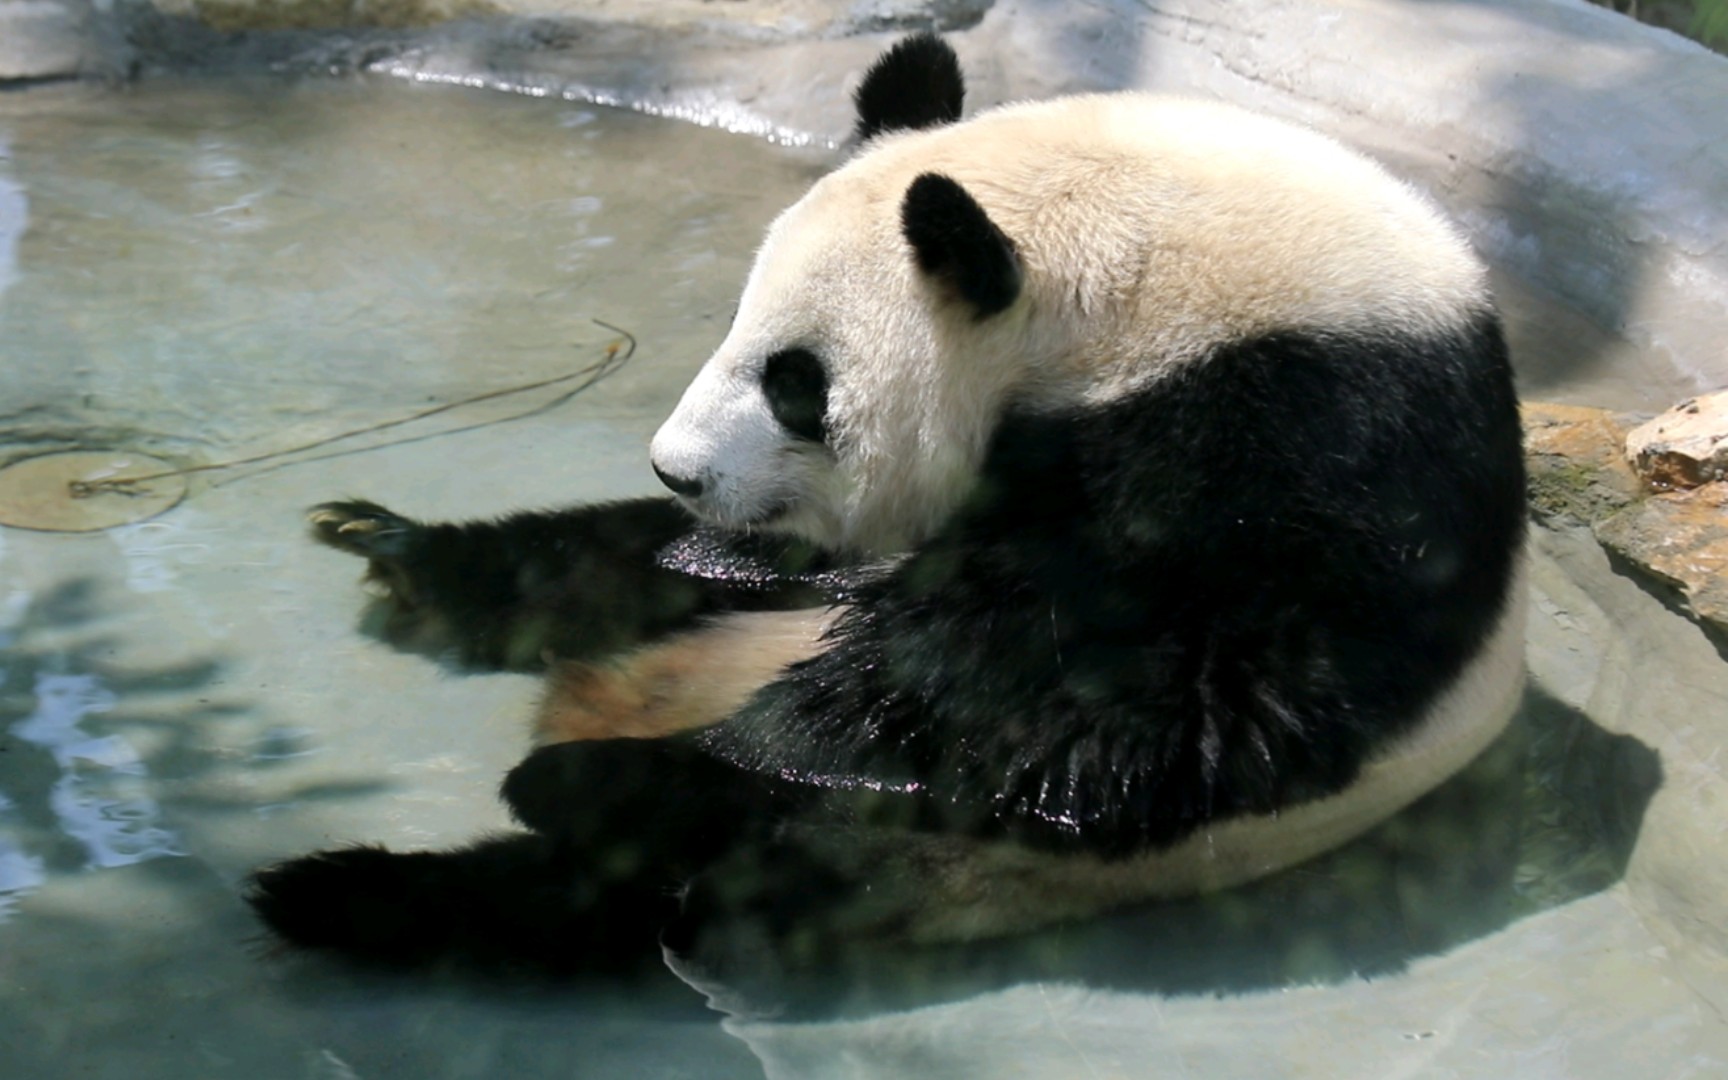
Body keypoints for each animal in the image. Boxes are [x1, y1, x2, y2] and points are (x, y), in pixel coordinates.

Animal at [247, 31, 1527, 974]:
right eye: (737, 321)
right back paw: (415, 592)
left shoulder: (1312, 447)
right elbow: (794, 570)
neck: (1149, 281)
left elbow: (1137, 702)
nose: (678, 471)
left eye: (796, 383)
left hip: (888, 862)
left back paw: (539, 806)